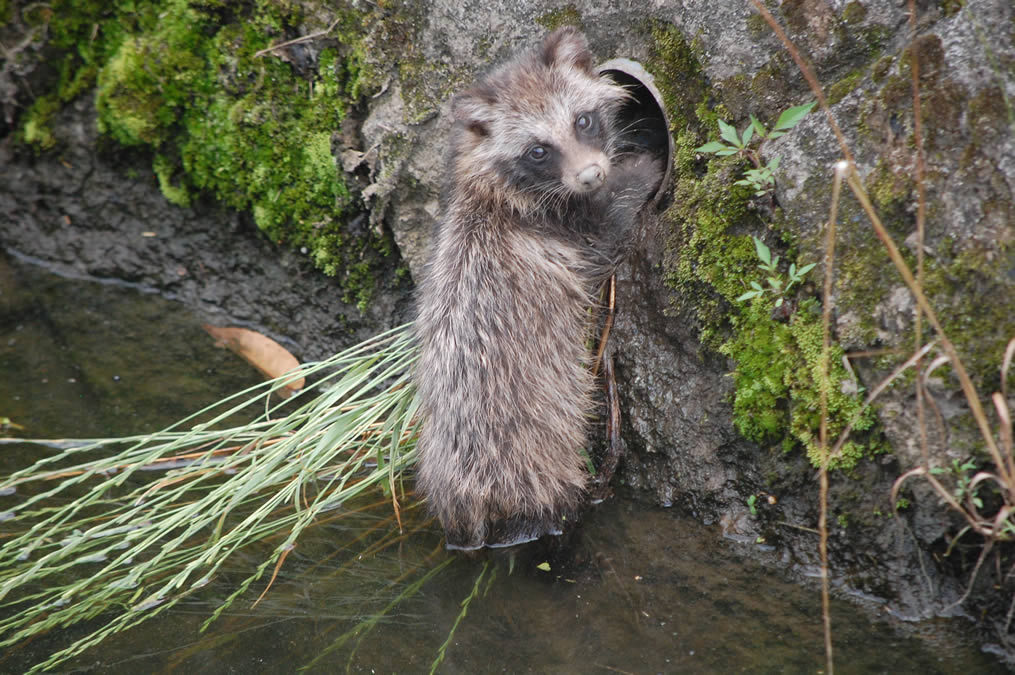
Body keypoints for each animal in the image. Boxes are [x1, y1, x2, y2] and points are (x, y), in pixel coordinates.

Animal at [414, 27, 665, 552]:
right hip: (533, 458)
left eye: (583, 120)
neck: (494, 191)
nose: (591, 174)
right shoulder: (564, 235)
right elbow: (610, 229)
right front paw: (643, 170)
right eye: (538, 150)